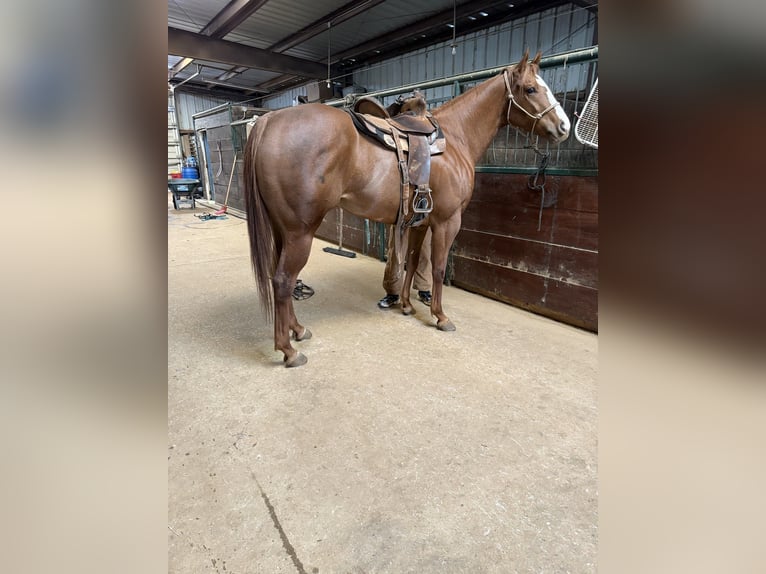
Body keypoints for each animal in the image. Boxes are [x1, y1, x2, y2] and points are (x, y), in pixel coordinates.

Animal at [243, 50, 570, 367]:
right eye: (530, 89)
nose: (564, 126)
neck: (455, 139)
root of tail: (268, 121)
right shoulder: (447, 222)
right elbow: (438, 268)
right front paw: (440, 316)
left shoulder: (421, 222)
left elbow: (412, 263)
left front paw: (407, 305)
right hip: (300, 233)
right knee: (283, 281)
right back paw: (288, 350)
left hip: (282, 231)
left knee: (280, 279)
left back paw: (298, 330)